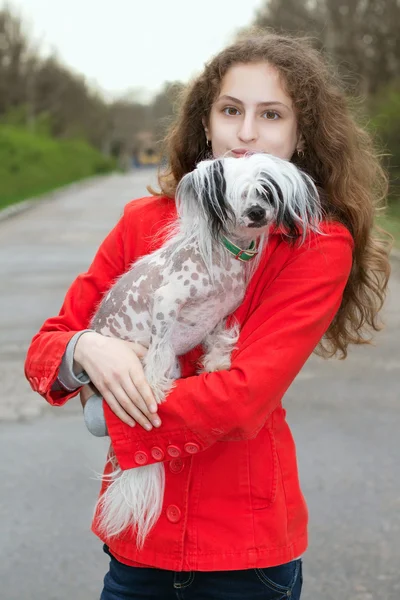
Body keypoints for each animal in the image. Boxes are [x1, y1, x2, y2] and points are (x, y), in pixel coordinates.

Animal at [83, 151, 324, 548]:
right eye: (237, 195)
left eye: (264, 191)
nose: (257, 212)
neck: (226, 258)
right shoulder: (167, 304)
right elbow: (160, 348)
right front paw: (154, 385)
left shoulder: (219, 315)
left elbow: (218, 339)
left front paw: (216, 362)